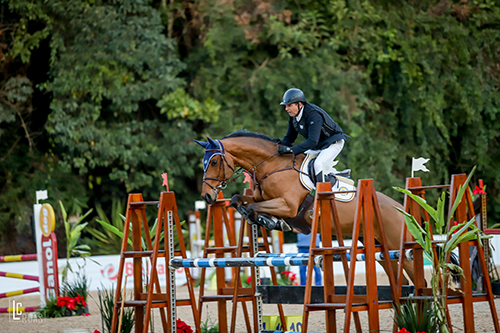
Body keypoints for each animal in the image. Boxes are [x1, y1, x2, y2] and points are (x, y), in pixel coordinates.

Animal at [195, 128, 414, 282]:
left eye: (213, 162)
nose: (206, 196)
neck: (272, 167)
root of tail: (401, 211)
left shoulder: (288, 206)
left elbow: (254, 208)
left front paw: (271, 221)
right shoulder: (261, 198)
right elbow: (238, 200)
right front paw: (256, 217)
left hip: (397, 246)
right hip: (378, 249)